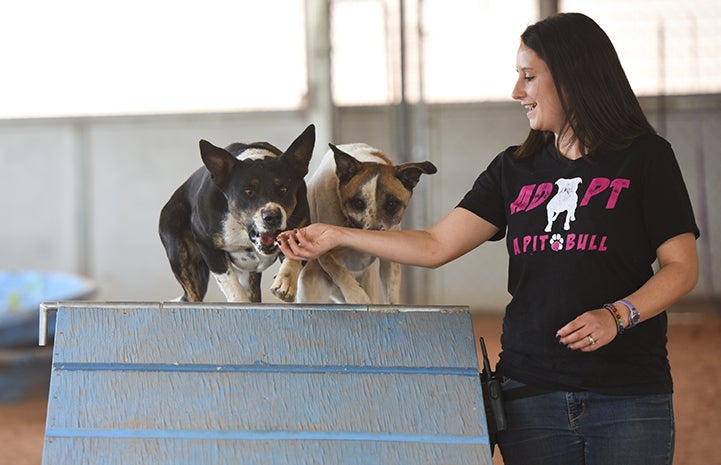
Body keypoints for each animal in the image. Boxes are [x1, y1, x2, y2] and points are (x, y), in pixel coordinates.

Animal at [159, 125, 314, 302]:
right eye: (248, 192)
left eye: (283, 189)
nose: (273, 217)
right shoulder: (207, 245)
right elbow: (230, 282)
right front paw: (239, 300)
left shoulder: (303, 226)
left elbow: (295, 253)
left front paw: (285, 283)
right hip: (180, 250)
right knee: (192, 294)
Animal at [292, 145, 434, 304]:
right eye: (358, 203)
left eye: (392, 204)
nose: (375, 240)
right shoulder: (324, 246)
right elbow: (333, 265)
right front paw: (357, 296)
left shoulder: (391, 254)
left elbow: (392, 289)